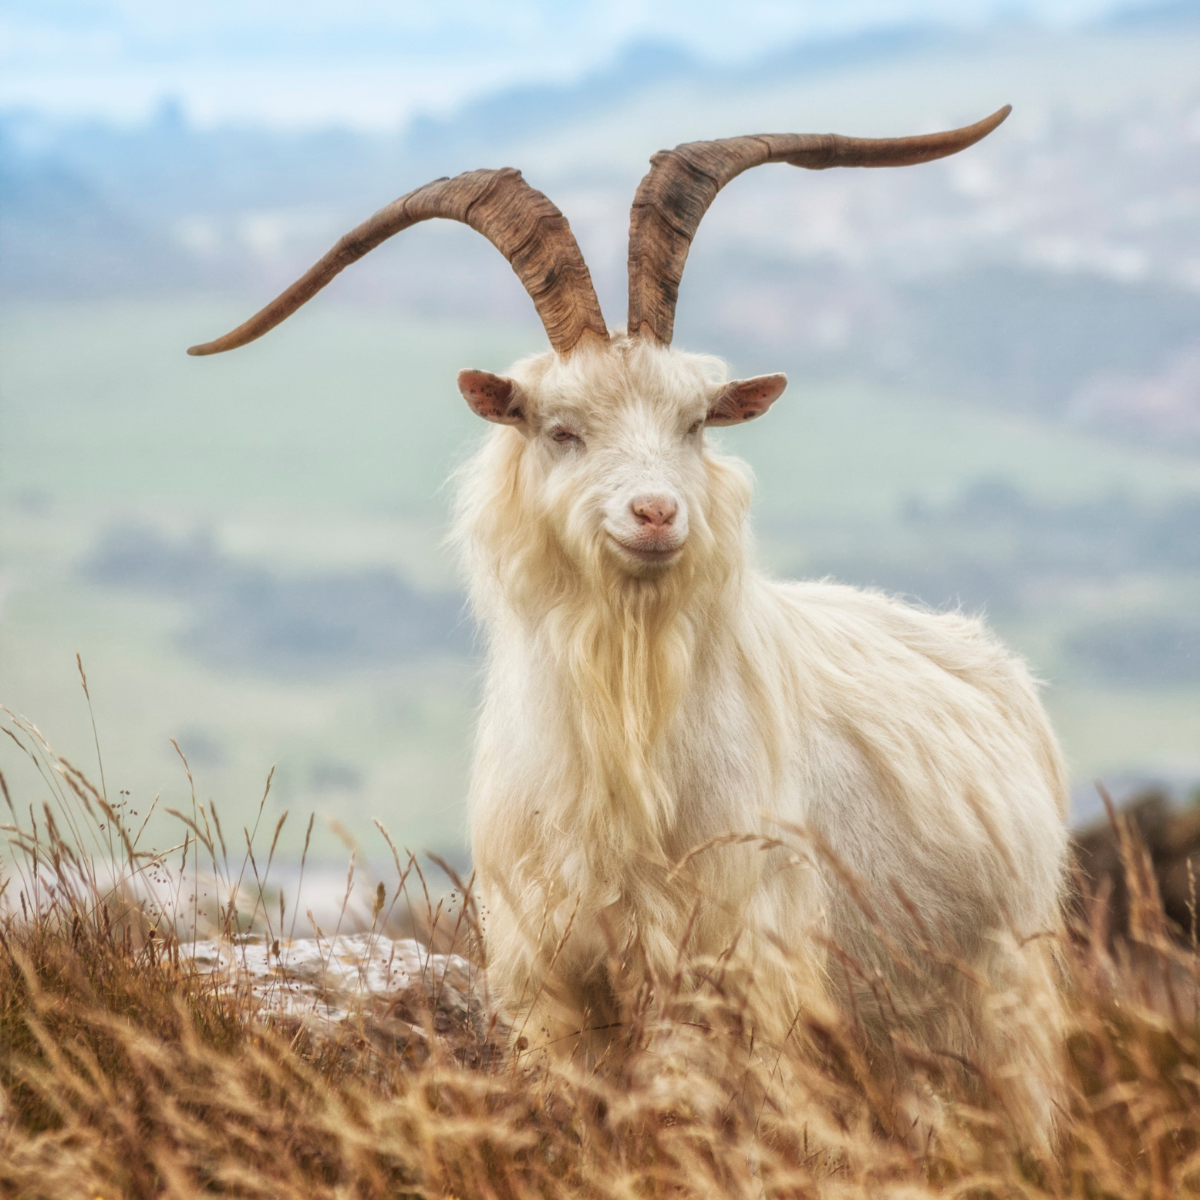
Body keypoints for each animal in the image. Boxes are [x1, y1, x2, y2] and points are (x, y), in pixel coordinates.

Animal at [189, 105, 1069, 1144]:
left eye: (695, 423)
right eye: (560, 427)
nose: (655, 513)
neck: (629, 731)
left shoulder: (741, 966)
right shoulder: (556, 981)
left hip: (996, 999)